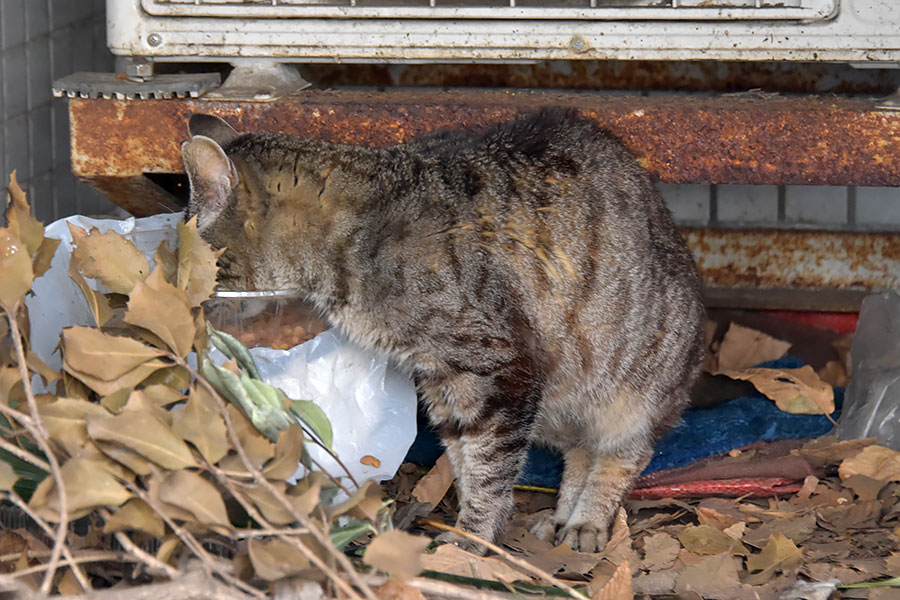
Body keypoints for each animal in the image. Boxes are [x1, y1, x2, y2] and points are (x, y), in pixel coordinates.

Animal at [181, 111, 704, 552]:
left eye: (192, 260)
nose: (182, 294)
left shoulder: (502, 373)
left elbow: (490, 468)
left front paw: (471, 541)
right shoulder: (442, 383)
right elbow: (465, 461)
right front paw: (470, 527)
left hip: (633, 390)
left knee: (621, 454)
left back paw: (587, 521)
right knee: (577, 453)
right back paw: (560, 515)